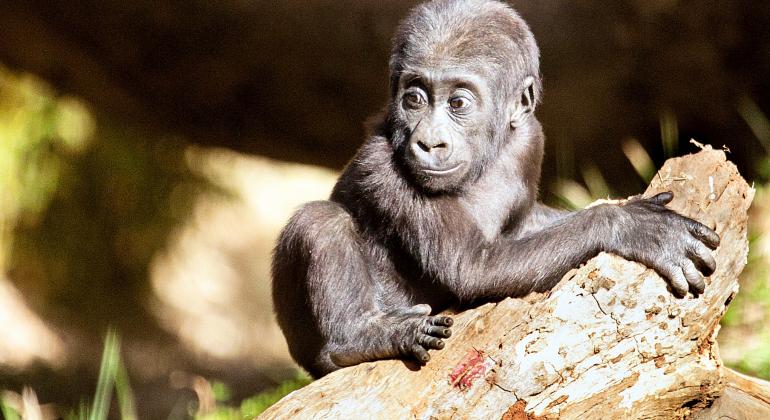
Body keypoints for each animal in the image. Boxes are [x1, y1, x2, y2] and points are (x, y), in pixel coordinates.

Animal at [270, 0, 712, 376]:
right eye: (414, 99)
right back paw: (358, 338)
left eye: (458, 104)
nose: (428, 143)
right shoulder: (382, 163)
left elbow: (526, 222)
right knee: (319, 220)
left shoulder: (530, 136)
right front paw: (629, 224)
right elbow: (473, 268)